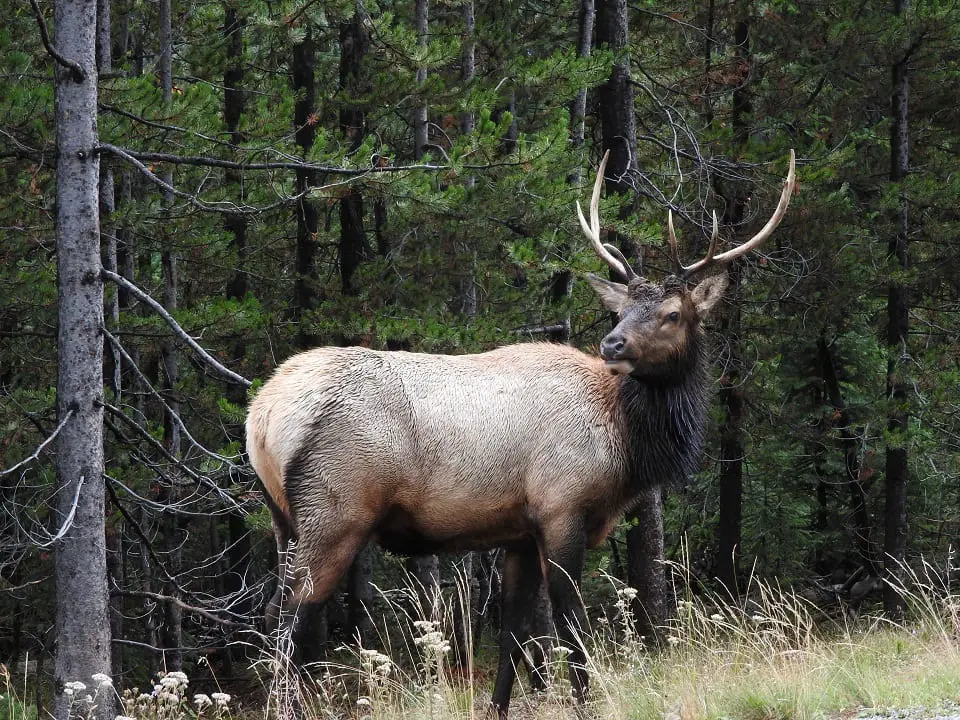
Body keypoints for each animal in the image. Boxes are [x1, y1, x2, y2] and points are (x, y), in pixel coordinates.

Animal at [248, 149, 796, 716]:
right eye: (621, 310)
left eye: (671, 313)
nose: (613, 343)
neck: (626, 442)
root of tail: (262, 414)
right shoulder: (561, 507)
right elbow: (569, 626)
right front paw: (586, 703)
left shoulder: (517, 531)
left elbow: (514, 631)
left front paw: (498, 706)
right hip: (336, 511)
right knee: (292, 615)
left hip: (283, 518)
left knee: (272, 613)